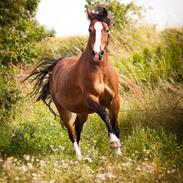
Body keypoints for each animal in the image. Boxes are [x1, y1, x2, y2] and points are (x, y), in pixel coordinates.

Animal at [26, 6, 121, 160]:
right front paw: (114, 143)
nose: (97, 54)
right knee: (72, 133)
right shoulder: (91, 99)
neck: (100, 71)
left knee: (77, 129)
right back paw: (79, 158)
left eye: (107, 29)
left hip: (83, 112)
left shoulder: (114, 100)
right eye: (90, 29)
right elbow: (105, 115)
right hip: (64, 111)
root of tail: (57, 65)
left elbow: (115, 125)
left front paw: (119, 154)